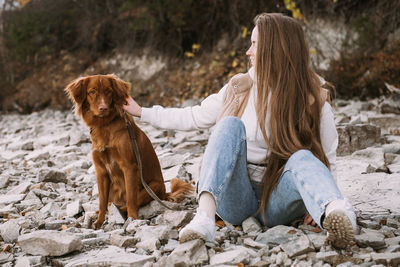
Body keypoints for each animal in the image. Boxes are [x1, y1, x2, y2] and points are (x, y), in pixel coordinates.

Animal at [65, 74, 194, 229]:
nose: (103, 108)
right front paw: (99, 222)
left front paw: (133, 219)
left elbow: (131, 199)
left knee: (129, 202)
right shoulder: (101, 171)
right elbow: (102, 201)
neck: (104, 126)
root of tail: (164, 194)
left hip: (154, 186)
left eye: (109, 91)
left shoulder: (129, 167)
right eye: (92, 91)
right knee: (110, 203)